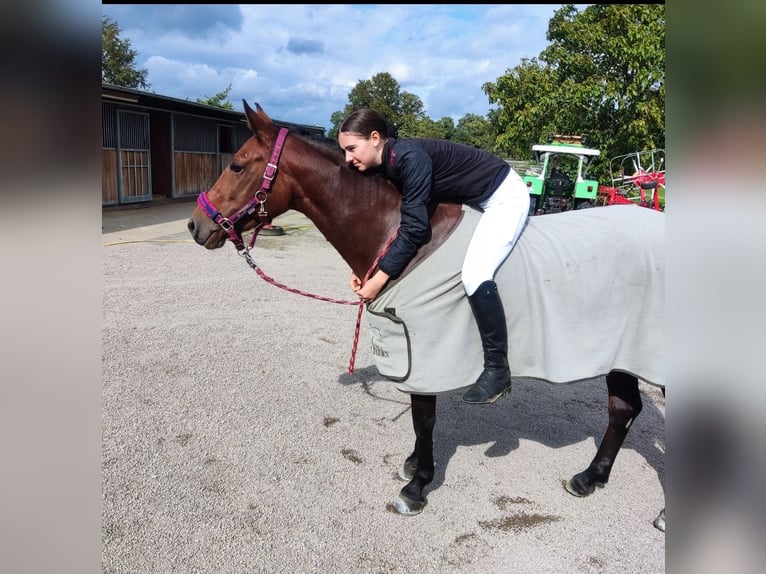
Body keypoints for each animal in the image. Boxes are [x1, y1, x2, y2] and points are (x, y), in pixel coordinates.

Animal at [186, 101, 664, 532]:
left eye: (237, 165)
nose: (195, 225)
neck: (400, 237)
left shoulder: (423, 352)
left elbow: (424, 418)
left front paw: (416, 487)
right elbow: (420, 423)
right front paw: (413, 465)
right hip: (623, 357)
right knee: (623, 409)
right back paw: (589, 478)